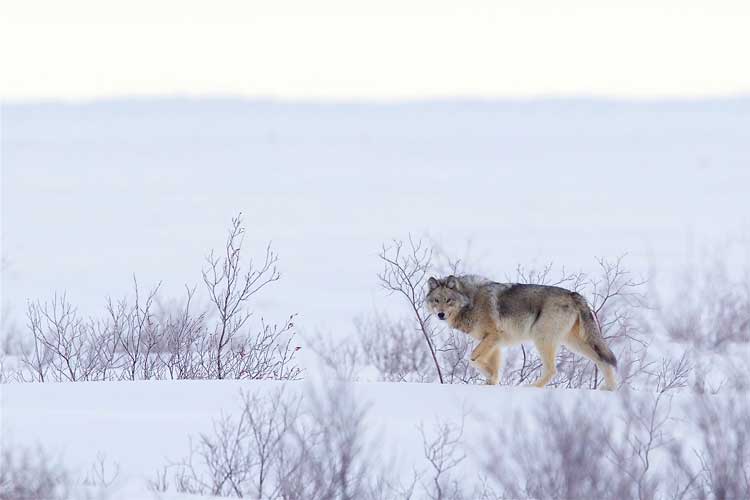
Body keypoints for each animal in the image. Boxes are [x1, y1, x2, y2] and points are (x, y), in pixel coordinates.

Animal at [426, 276, 620, 388]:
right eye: (436, 300)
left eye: (448, 300)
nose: (441, 314)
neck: (471, 301)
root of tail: (574, 294)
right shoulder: (494, 342)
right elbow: (492, 365)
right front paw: (492, 381)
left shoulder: (493, 337)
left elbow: (473, 358)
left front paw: (489, 376)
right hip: (574, 343)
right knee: (602, 360)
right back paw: (609, 389)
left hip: (541, 338)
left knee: (552, 370)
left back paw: (531, 387)